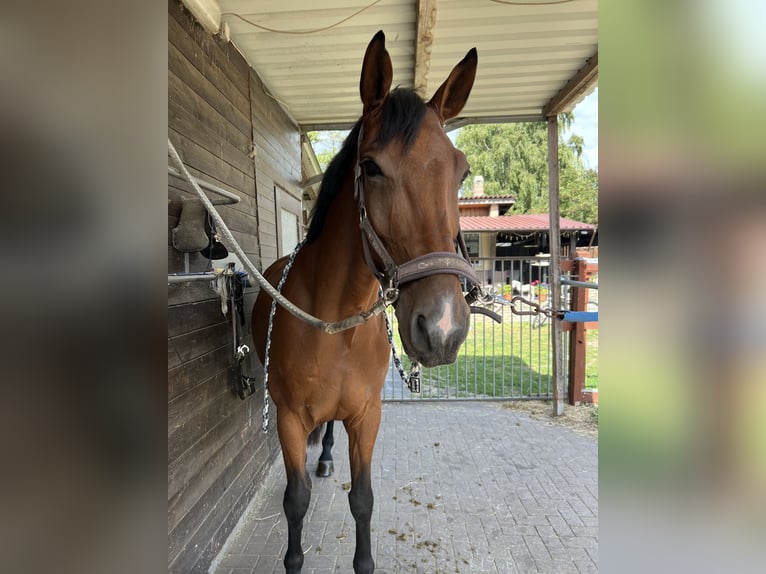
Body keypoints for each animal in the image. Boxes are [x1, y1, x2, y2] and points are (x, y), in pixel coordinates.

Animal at [253, 30, 478, 574]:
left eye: (461, 173)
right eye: (371, 167)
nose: (442, 328)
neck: (337, 322)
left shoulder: (366, 415)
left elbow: (363, 500)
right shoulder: (289, 418)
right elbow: (295, 500)